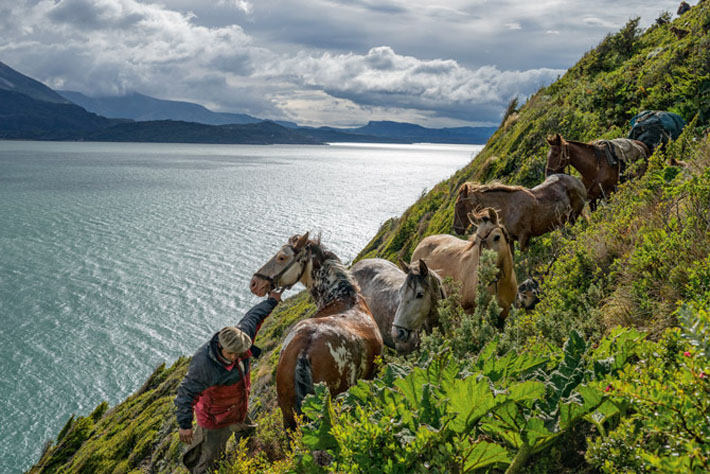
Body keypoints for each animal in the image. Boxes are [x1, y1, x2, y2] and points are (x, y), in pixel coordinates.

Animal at [456, 173, 588, 250]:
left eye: (460, 204)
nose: (457, 229)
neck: (507, 208)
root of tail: (575, 179)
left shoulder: (524, 237)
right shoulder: (509, 240)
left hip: (572, 217)